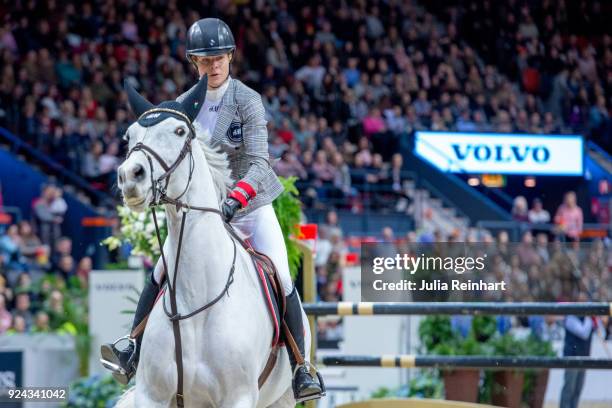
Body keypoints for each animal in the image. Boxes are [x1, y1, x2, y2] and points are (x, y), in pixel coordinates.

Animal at [113, 77, 306, 408]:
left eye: (179, 132)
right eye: (130, 135)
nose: (130, 177)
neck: (195, 303)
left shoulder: (238, 398)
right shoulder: (152, 395)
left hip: (281, 399)